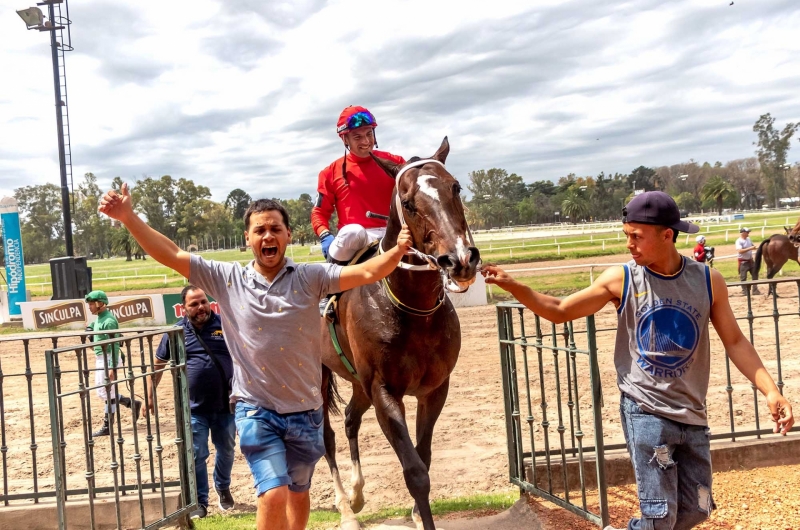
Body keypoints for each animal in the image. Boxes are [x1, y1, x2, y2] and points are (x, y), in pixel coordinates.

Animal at [318, 138, 482, 528]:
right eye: (408, 203)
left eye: (455, 187)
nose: (460, 260)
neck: (412, 311)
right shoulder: (384, 391)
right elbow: (415, 471)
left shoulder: (434, 389)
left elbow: (425, 456)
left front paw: (416, 513)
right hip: (316, 377)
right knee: (326, 437)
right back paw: (345, 507)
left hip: (357, 381)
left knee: (350, 418)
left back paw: (357, 495)